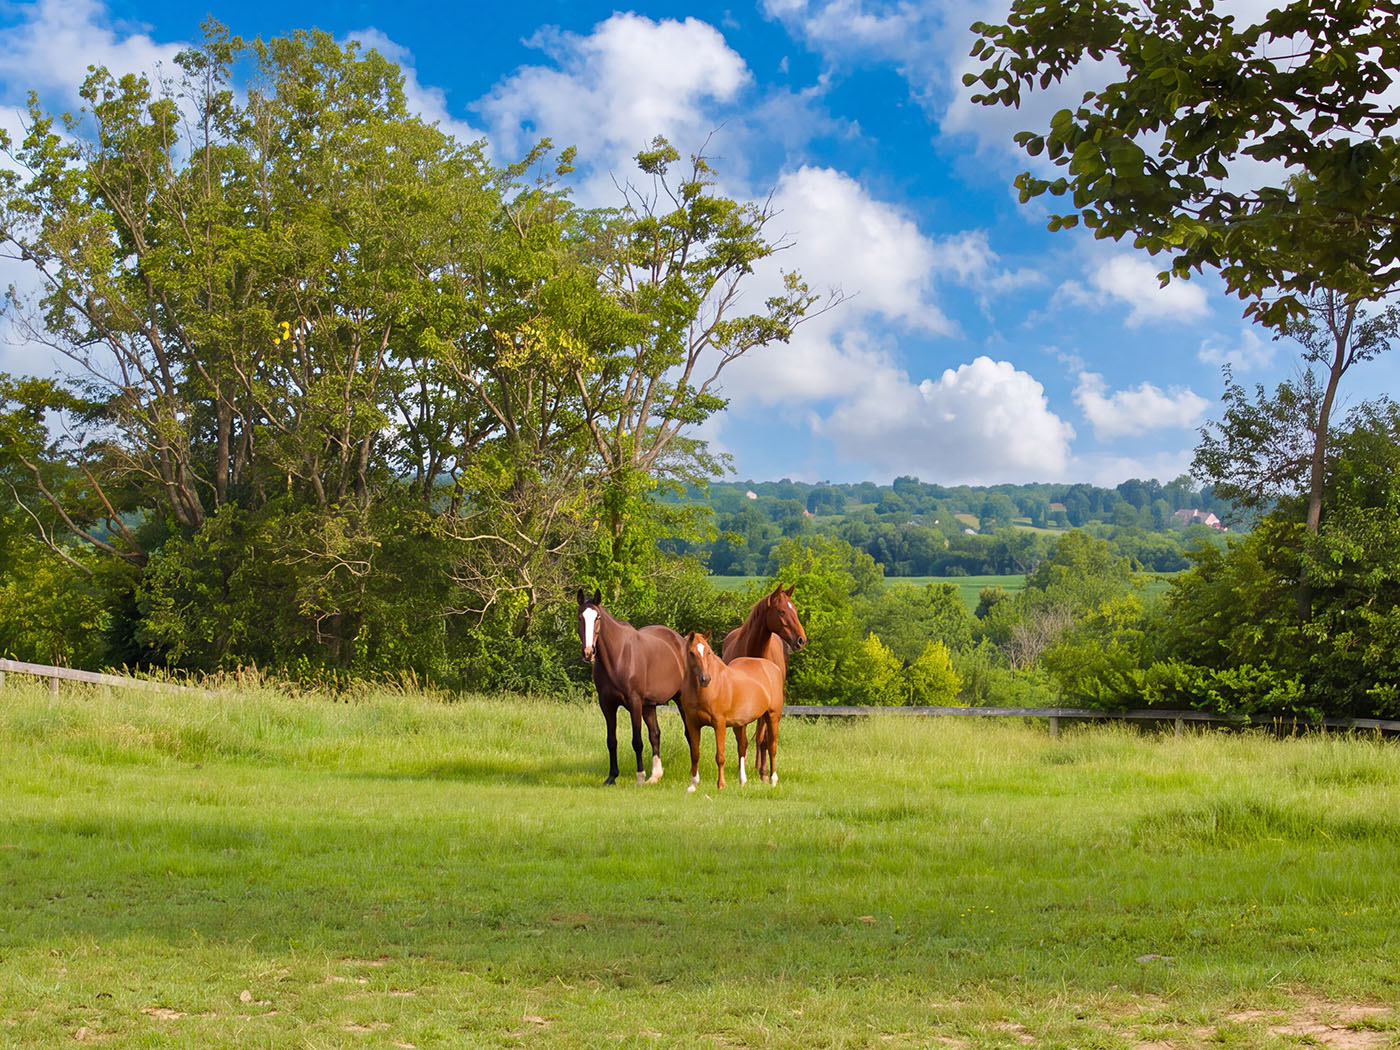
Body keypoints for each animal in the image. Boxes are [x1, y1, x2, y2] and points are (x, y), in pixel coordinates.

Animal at [576, 589, 686, 786]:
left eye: (597, 617)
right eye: (580, 617)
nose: (588, 652)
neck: (618, 656)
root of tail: (680, 641)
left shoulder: (634, 703)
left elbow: (637, 741)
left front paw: (639, 777)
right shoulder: (607, 705)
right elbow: (611, 741)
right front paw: (612, 777)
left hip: (681, 700)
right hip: (649, 706)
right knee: (655, 734)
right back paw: (655, 776)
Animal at [680, 631, 784, 792]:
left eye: (708, 652)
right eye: (691, 653)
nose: (705, 679)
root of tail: (774, 668)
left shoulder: (719, 723)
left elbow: (720, 756)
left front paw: (721, 785)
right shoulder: (692, 723)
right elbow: (695, 754)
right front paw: (692, 785)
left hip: (772, 716)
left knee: (771, 747)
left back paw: (772, 780)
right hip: (740, 724)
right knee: (742, 747)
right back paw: (742, 781)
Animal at [721, 584, 807, 780]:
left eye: (795, 610)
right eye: (782, 611)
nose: (801, 640)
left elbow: (762, 738)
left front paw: (763, 772)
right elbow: (742, 740)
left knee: (764, 737)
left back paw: (762, 768)